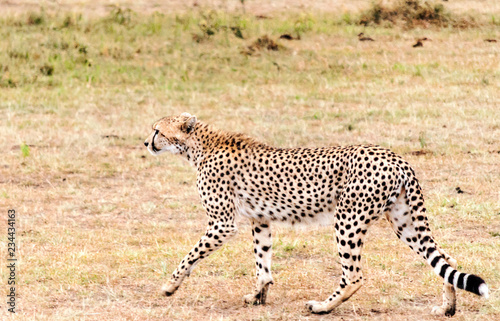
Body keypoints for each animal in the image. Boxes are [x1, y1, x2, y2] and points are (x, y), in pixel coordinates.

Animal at [143, 112, 486, 316]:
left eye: (157, 130)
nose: (146, 142)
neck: (200, 145)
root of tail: (395, 156)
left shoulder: (223, 224)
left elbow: (190, 256)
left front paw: (169, 286)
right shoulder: (260, 219)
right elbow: (262, 262)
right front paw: (258, 295)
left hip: (347, 219)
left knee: (354, 275)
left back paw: (323, 306)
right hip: (404, 221)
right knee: (446, 259)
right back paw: (447, 308)